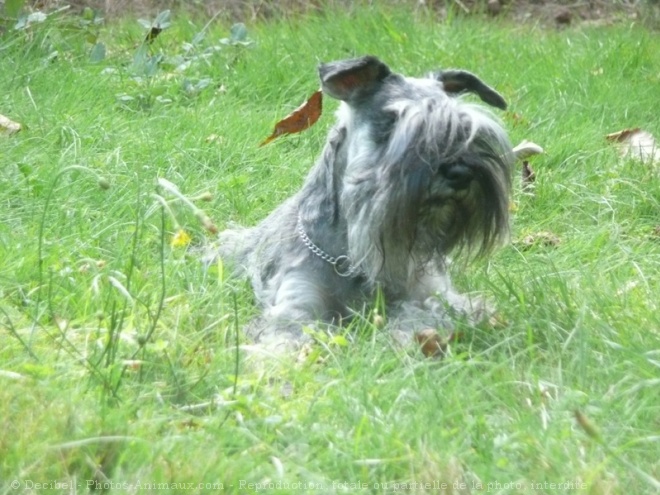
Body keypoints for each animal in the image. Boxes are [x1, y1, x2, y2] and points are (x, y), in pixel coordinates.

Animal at [209, 56, 512, 350]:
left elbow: (429, 311)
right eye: (392, 121)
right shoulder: (294, 308)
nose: (460, 173)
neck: (350, 259)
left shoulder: (434, 292)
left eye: (463, 126)